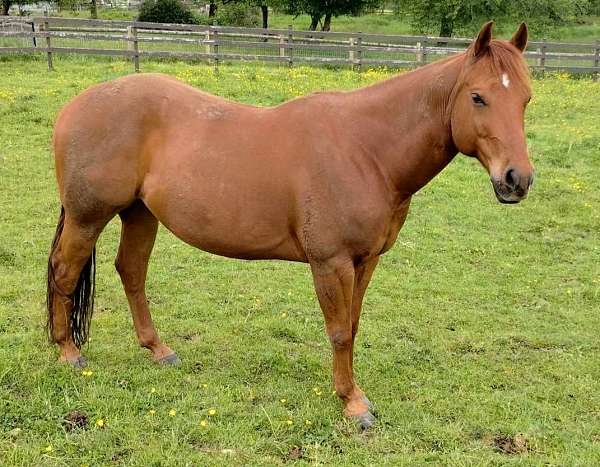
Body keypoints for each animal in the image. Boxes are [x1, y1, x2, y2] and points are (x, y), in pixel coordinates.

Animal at [47, 23, 536, 430]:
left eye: (525, 99)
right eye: (478, 97)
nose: (517, 179)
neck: (366, 149)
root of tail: (76, 105)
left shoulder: (366, 262)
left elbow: (352, 325)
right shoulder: (330, 263)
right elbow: (339, 331)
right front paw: (352, 403)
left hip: (140, 214)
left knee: (131, 272)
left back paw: (158, 350)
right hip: (88, 217)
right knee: (65, 272)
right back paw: (68, 352)